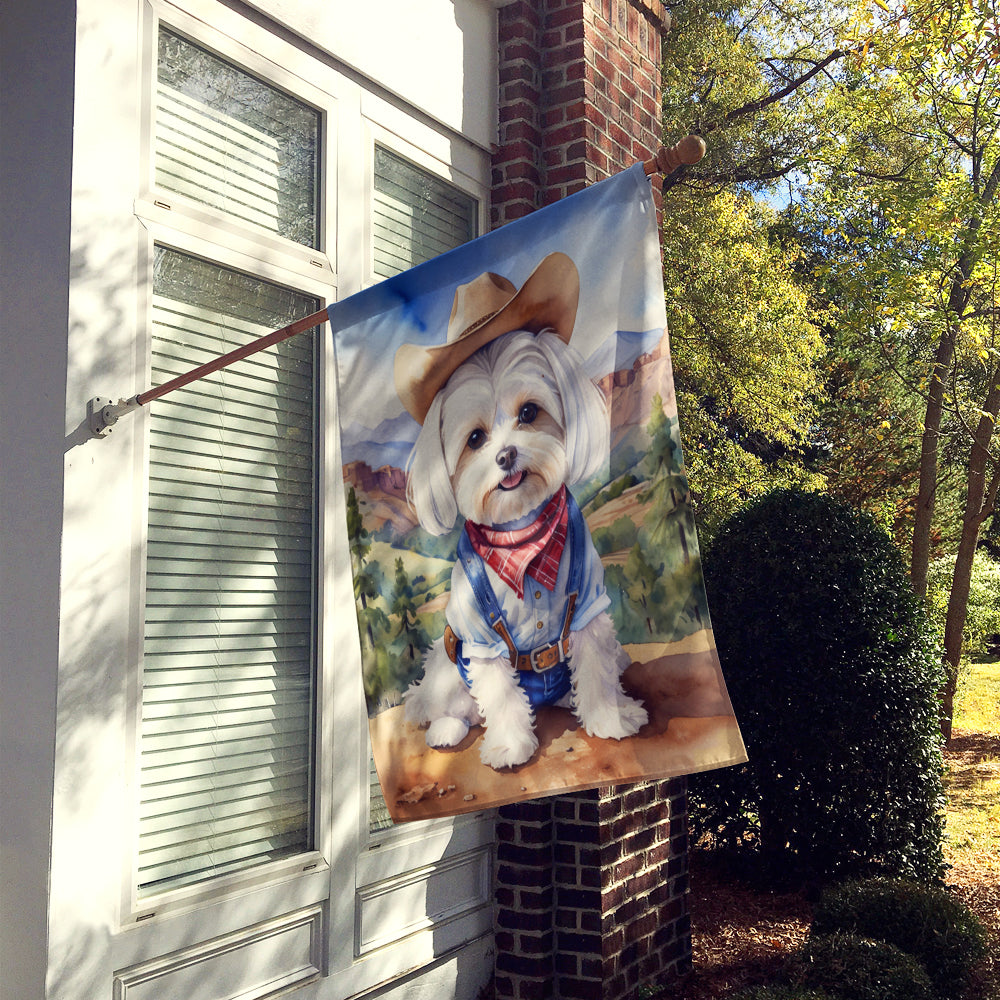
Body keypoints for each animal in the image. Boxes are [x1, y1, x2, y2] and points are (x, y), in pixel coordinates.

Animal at [396, 254, 648, 768]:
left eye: (530, 413)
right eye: (474, 439)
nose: (507, 455)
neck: (524, 539)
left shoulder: (589, 604)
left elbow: (595, 665)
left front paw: (610, 719)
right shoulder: (481, 637)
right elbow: (499, 693)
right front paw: (512, 746)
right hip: (448, 665)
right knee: (456, 706)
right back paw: (446, 731)